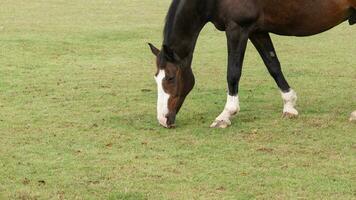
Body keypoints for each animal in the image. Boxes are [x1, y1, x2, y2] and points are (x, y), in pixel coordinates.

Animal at [147, 0, 356, 128]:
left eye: (170, 78)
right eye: (156, 77)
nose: (163, 119)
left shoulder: (237, 28)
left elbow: (233, 72)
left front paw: (225, 115)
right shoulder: (257, 31)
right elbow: (273, 65)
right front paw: (289, 105)